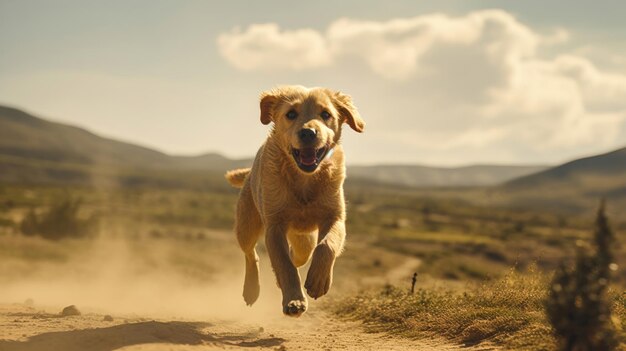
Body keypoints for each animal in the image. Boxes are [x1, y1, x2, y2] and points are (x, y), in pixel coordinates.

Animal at [224, 86, 364, 320]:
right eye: (291, 114)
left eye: (326, 114)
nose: (308, 133)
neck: (304, 178)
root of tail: (249, 174)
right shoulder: (275, 225)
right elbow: (284, 266)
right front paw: (294, 301)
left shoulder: (335, 217)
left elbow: (326, 245)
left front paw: (318, 280)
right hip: (246, 225)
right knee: (251, 255)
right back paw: (251, 289)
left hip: (303, 239)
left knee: (300, 254)